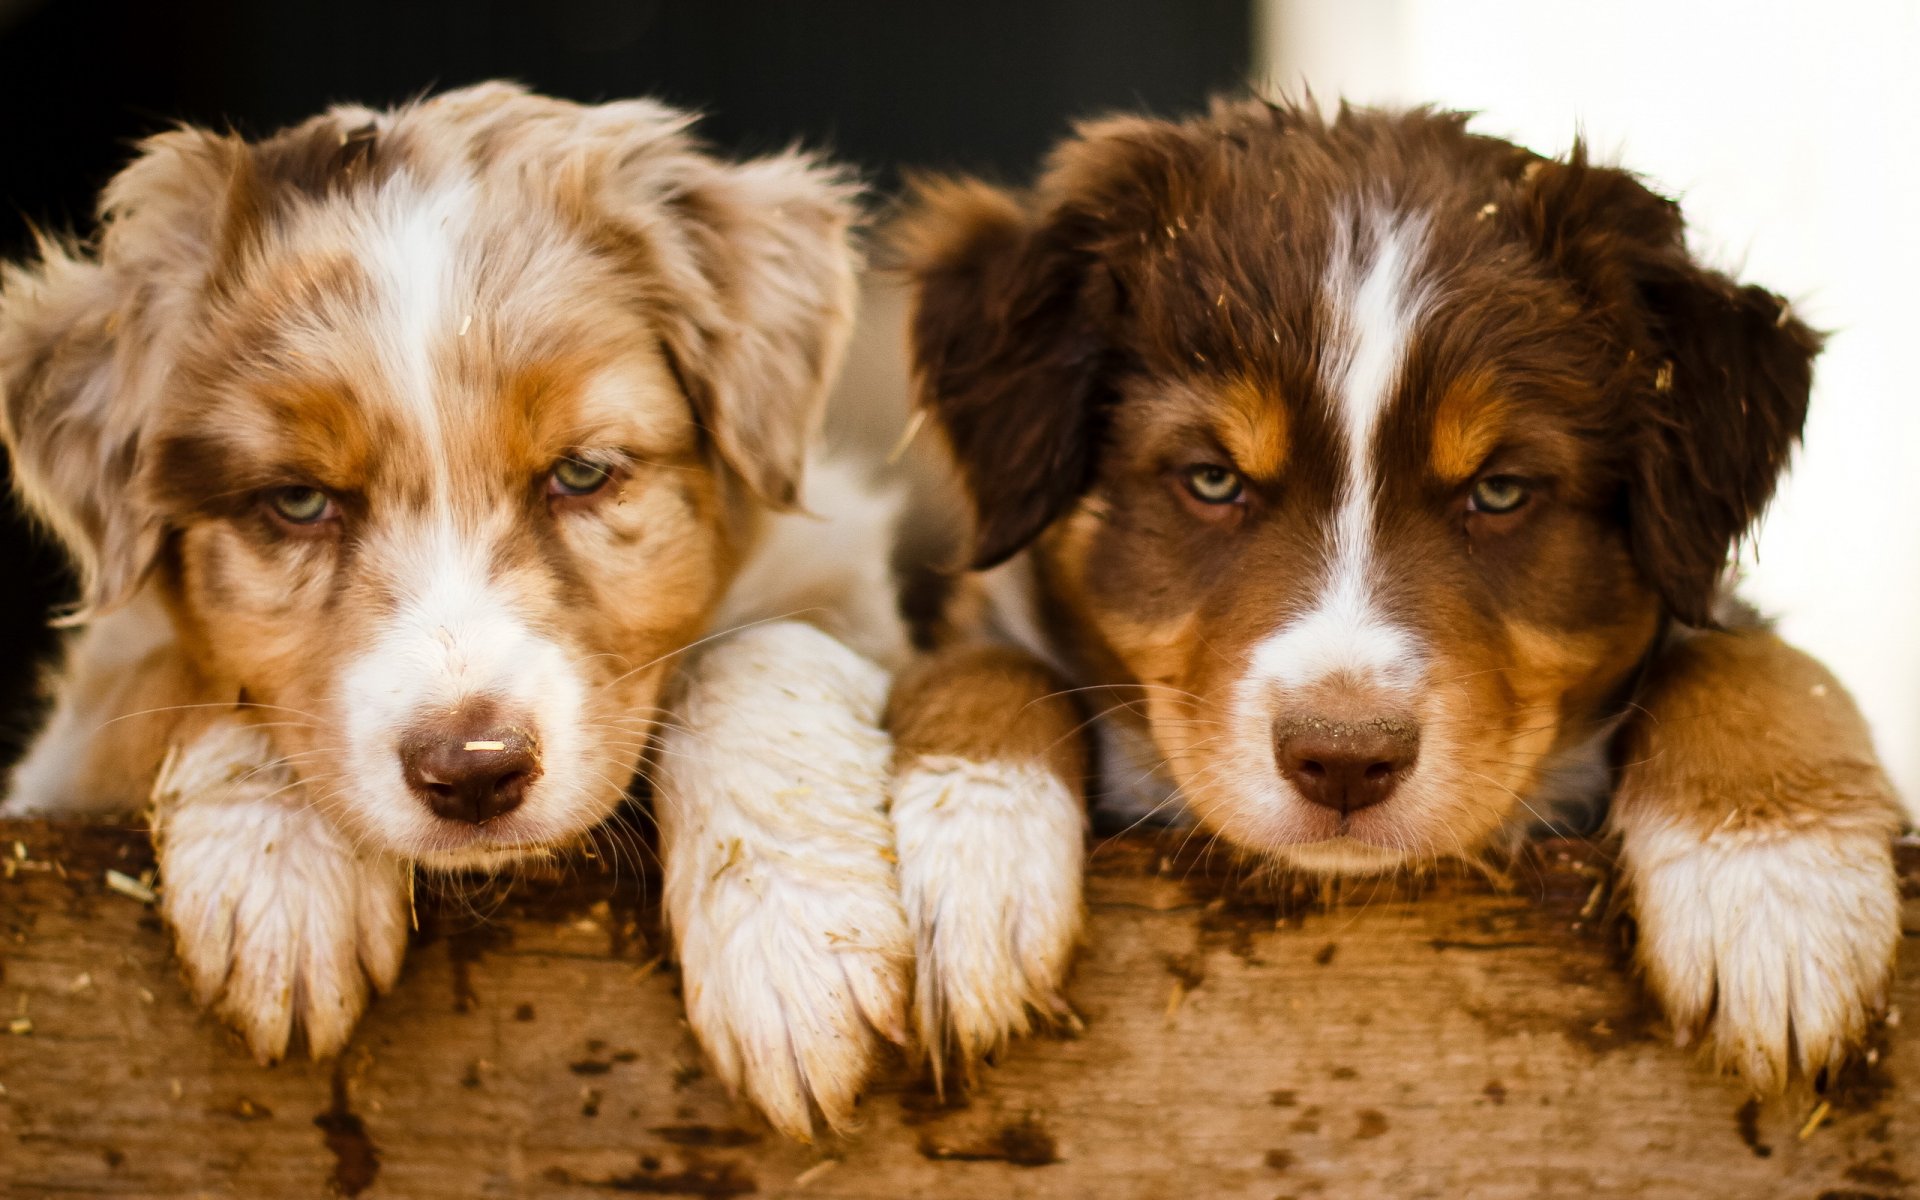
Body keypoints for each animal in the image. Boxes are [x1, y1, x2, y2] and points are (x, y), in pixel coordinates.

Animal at [0, 84, 929, 1128]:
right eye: (299, 501)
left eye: (582, 472)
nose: (474, 771)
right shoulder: (64, 758)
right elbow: (174, 673)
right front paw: (278, 878)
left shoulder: (830, 569)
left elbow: (762, 644)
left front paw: (794, 946)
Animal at [894, 98, 1904, 1090]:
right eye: (1213, 480)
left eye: (1499, 491)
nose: (1343, 760)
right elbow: (983, 663)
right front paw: (966, 851)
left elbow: (1748, 654)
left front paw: (1775, 884)